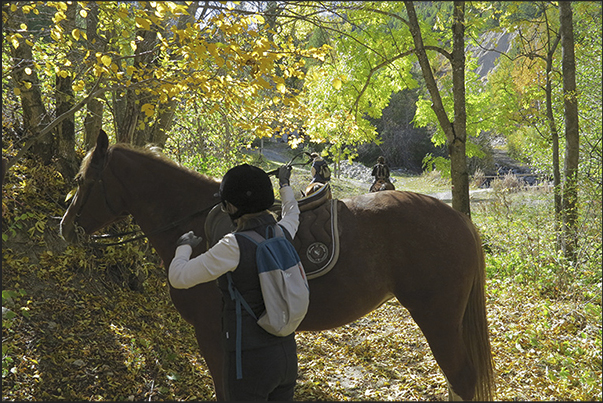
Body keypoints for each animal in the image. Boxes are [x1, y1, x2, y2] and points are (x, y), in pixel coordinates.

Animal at [60, 131, 496, 402]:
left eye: (82, 180)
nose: (64, 227)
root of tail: (459, 220)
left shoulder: (212, 335)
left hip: (438, 318)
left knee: (461, 378)